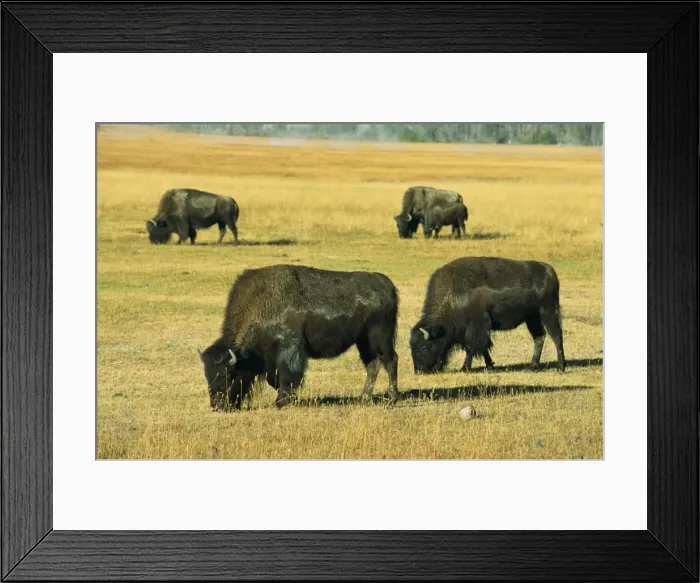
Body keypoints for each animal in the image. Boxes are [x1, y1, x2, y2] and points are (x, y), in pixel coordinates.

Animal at [199, 264, 400, 410]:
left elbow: (287, 376)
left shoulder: (289, 350)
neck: (261, 304)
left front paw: (281, 402)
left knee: (390, 360)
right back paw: (364, 398)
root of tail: (387, 285)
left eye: (229, 375)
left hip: (380, 336)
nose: (217, 406)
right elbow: (274, 379)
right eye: (207, 375)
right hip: (364, 341)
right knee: (373, 365)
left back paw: (392, 399)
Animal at [410, 257, 565, 373]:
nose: (419, 370)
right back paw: (532, 367)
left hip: (548, 312)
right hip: (532, 318)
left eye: (424, 347)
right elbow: (483, 347)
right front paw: (490, 365)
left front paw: (465, 368)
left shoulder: (476, 325)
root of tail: (550, 271)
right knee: (539, 337)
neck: (452, 294)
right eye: (412, 347)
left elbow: (471, 346)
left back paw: (560, 368)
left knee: (556, 336)